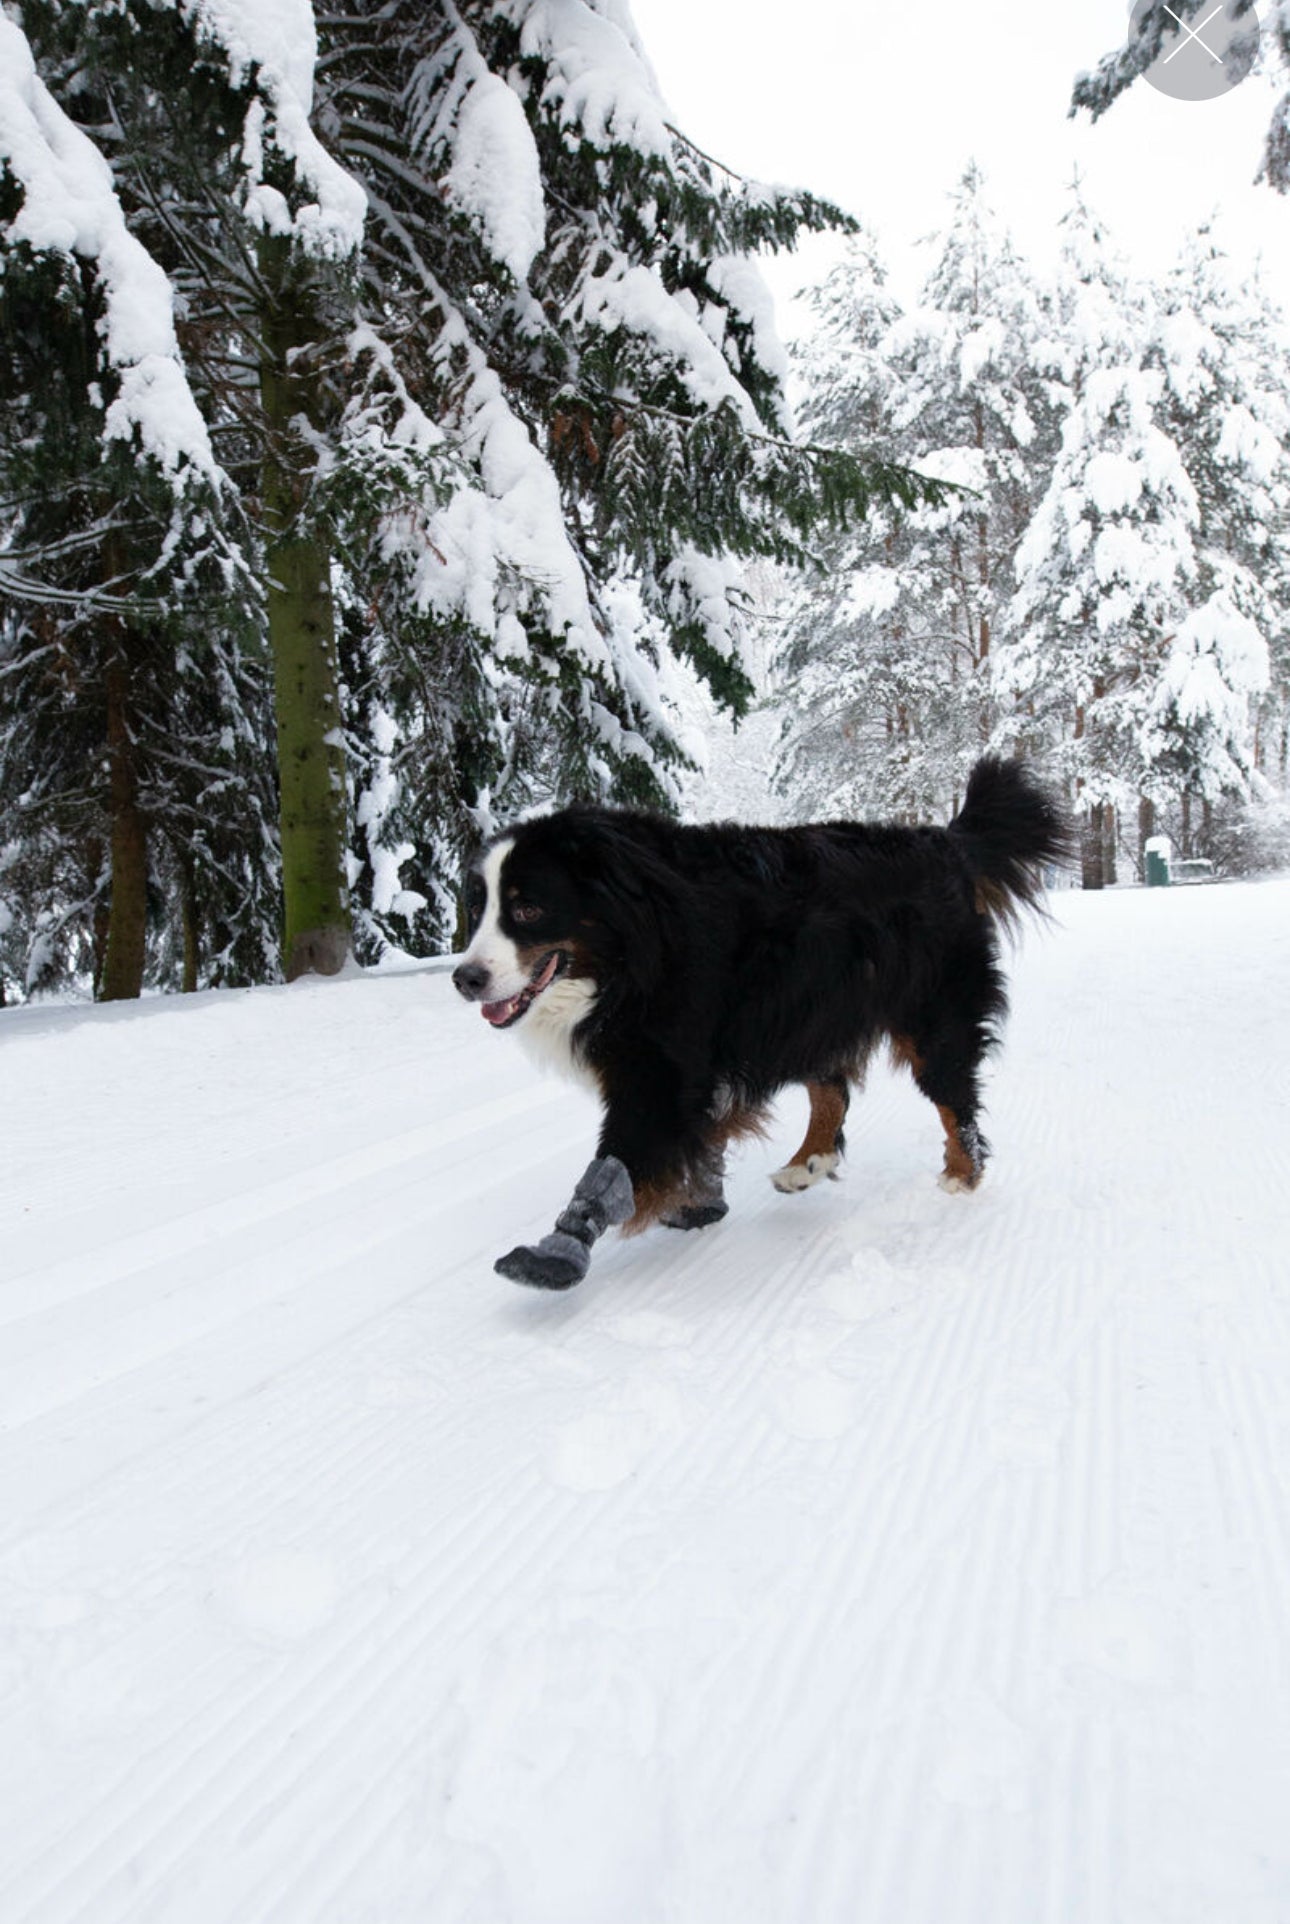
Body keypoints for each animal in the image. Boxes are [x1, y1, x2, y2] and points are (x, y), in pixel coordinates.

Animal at [454, 754, 1070, 1292]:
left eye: (528, 909)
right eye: (478, 909)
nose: (465, 978)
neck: (632, 944)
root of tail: (945, 842)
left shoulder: (660, 1065)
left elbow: (618, 1159)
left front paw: (558, 1249)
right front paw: (698, 1203)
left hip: (929, 1010)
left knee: (951, 1093)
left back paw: (962, 1173)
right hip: (815, 1007)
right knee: (832, 1089)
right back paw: (808, 1163)